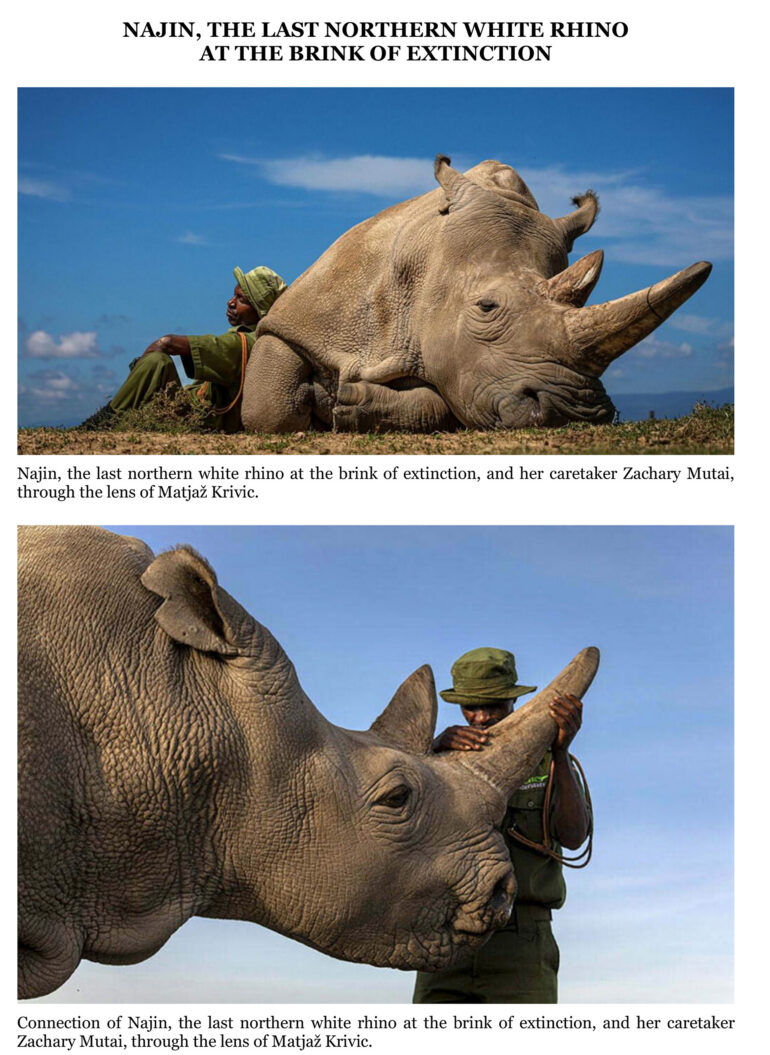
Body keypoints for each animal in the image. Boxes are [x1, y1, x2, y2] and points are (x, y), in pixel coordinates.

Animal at [241, 155, 711, 433]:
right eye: (487, 307)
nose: (575, 411)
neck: (425, 262)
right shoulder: (301, 318)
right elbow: (270, 407)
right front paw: (318, 402)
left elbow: (441, 402)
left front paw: (344, 404)